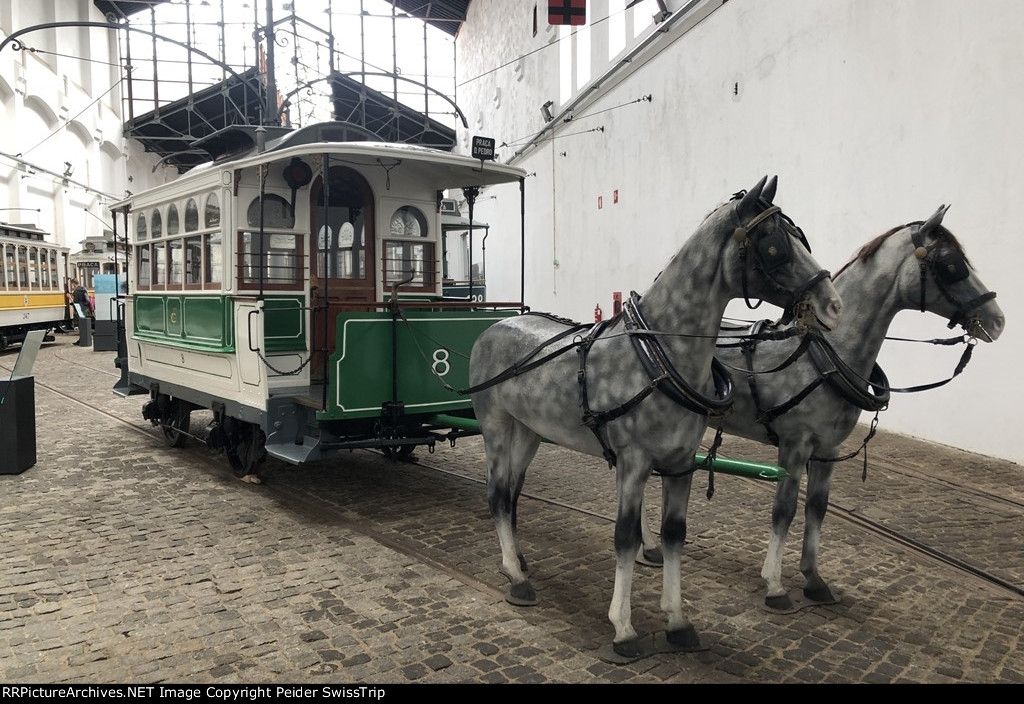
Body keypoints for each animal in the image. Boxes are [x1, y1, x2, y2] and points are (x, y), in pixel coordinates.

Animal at [468, 176, 843, 658]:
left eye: (801, 238)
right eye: (775, 245)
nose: (833, 305)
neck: (660, 354)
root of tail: (493, 326)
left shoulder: (681, 463)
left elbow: (673, 535)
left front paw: (678, 621)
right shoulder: (633, 462)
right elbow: (626, 537)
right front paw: (623, 627)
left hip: (529, 431)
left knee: (513, 493)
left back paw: (517, 560)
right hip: (495, 426)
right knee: (497, 494)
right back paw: (516, 578)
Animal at [638, 202, 999, 609]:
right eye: (952, 264)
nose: (998, 319)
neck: (823, 355)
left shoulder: (828, 449)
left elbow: (817, 509)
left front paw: (813, 579)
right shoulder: (795, 446)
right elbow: (784, 510)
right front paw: (775, 585)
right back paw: (647, 546)